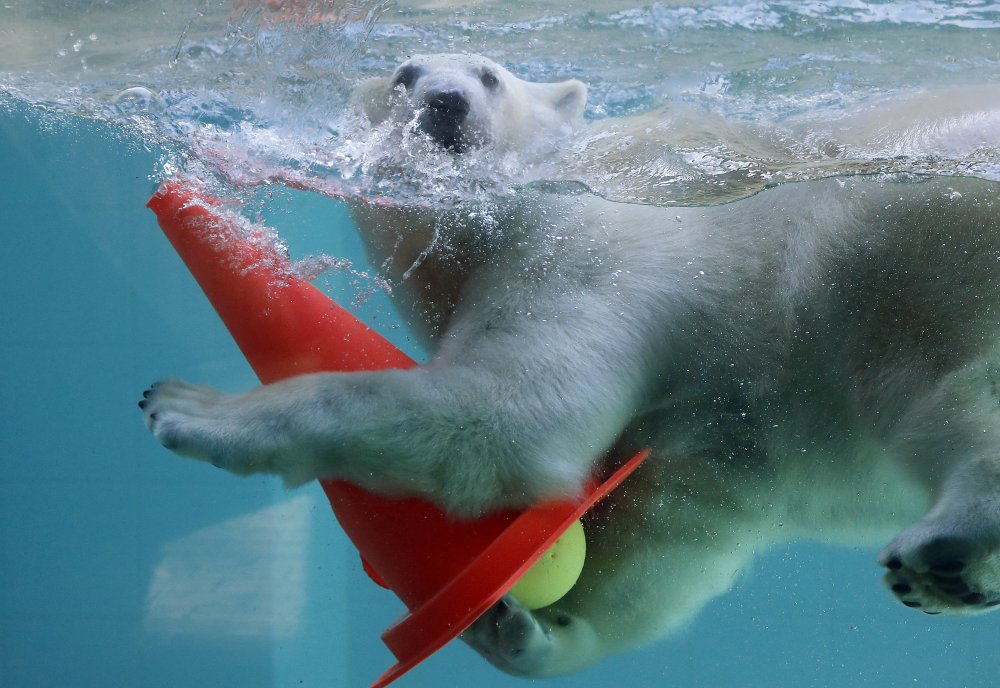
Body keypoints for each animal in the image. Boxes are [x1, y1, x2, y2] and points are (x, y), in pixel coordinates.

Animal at [143, 55, 1000, 676]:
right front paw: (514, 624)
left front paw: (190, 408)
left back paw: (948, 544)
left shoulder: (584, 245)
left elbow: (508, 413)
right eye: (402, 75)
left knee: (931, 393)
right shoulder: (708, 461)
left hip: (899, 253)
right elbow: (659, 561)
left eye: (488, 74)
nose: (445, 103)